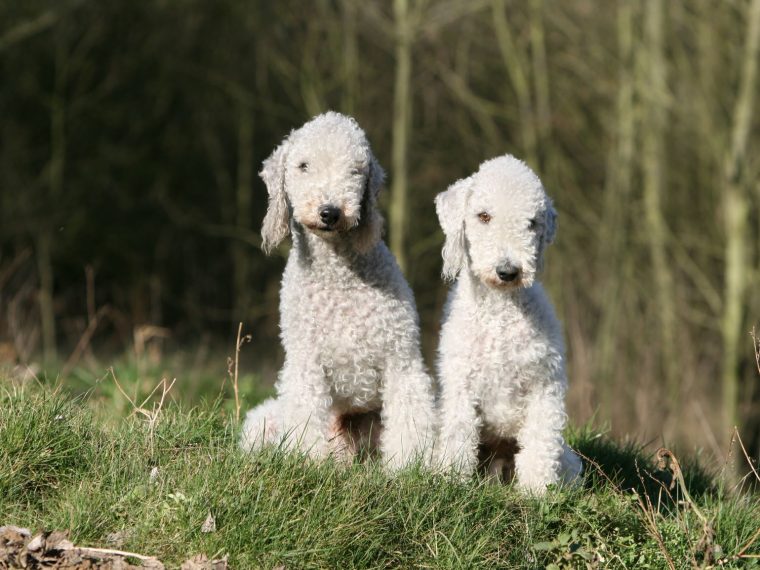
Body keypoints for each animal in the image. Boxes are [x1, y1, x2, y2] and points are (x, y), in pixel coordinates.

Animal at [240, 110, 436, 466]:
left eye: (356, 170)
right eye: (303, 165)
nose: (330, 212)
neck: (339, 279)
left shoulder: (401, 360)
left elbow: (409, 419)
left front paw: (407, 467)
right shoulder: (306, 363)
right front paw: (308, 461)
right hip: (264, 421)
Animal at [434, 153, 580, 490]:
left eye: (532, 222)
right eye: (483, 216)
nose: (508, 271)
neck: (500, 314)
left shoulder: (544, 386)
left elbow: (539, 444)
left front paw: (536, 492)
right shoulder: (460, 385)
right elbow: (459, 435)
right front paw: (452, 482)